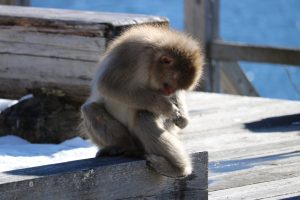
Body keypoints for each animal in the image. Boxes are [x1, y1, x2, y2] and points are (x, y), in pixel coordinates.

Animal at [81, 25, 204, 178]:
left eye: (175, 88)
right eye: (168, 85)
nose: (168, 93)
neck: (152, 60)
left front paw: (182, 118)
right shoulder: (132, 56)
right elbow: (109, 85)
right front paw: (165, 107)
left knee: (143, 117)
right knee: (91, 109)